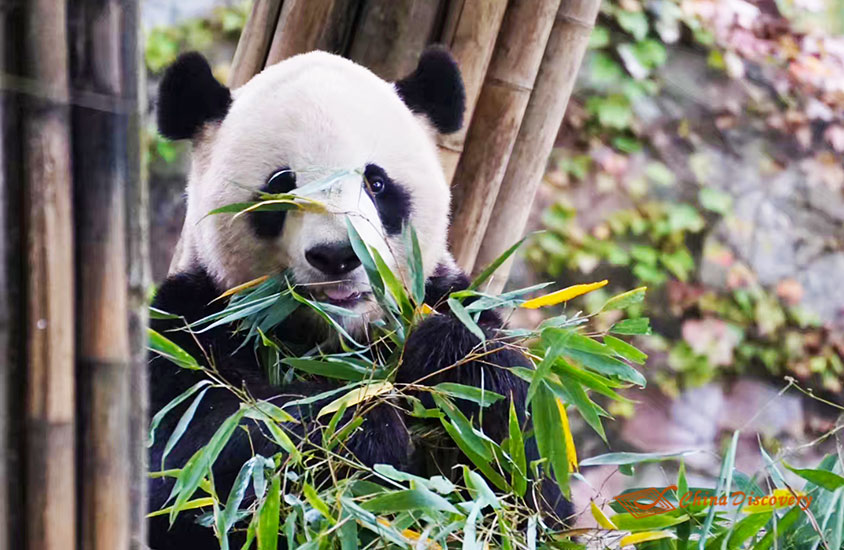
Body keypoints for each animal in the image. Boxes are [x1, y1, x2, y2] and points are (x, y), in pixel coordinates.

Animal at [150, 48, 572, 550]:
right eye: (281, 185)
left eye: (376, 183)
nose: (337, 254)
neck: (336, 339)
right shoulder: (190, 323)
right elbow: (199, 457)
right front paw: (362, 425)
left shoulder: (452, 298)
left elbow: (531, 486)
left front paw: (450, 356)